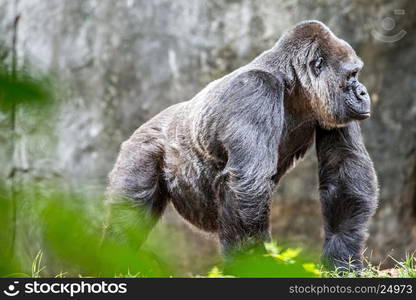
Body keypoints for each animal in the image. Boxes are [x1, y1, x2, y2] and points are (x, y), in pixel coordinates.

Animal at [105, 19, 378, 270]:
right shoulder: (255, 91)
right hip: (141, 148)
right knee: (129, 213)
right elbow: (249, 181)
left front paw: (341, 254)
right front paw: (253, 265)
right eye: (351, 75)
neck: (292, 81)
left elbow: (344, 166)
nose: (363, 92)